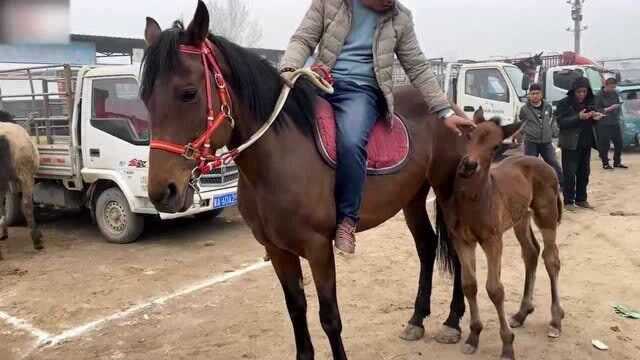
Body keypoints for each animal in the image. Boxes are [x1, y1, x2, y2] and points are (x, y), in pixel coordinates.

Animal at [141, 2, 470, 358]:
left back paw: (452, 322)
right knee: (426, 245)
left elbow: (330, 318)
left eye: (188, 93)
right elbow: (296, 309)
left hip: (448, 193)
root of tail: (452, 112)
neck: (279, 159)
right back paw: (417, 319)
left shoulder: (318, 248)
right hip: (412, 197)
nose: (163, 191)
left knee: (457, 249)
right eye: (144, 97)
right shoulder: (278, 251)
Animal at [442, 110, 564, 360]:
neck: (474, 200)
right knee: (531, 252)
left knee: (551, 259)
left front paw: (507, 346)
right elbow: (469, 284)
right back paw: (521, 313)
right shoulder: (462, 240)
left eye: (496, 146)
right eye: (470, 135)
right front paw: (473, 336)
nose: (469, 165)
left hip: (546, 215)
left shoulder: (492, 240)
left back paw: (556, 320)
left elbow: (495, 290)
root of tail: (542, 162)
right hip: (520, 219)